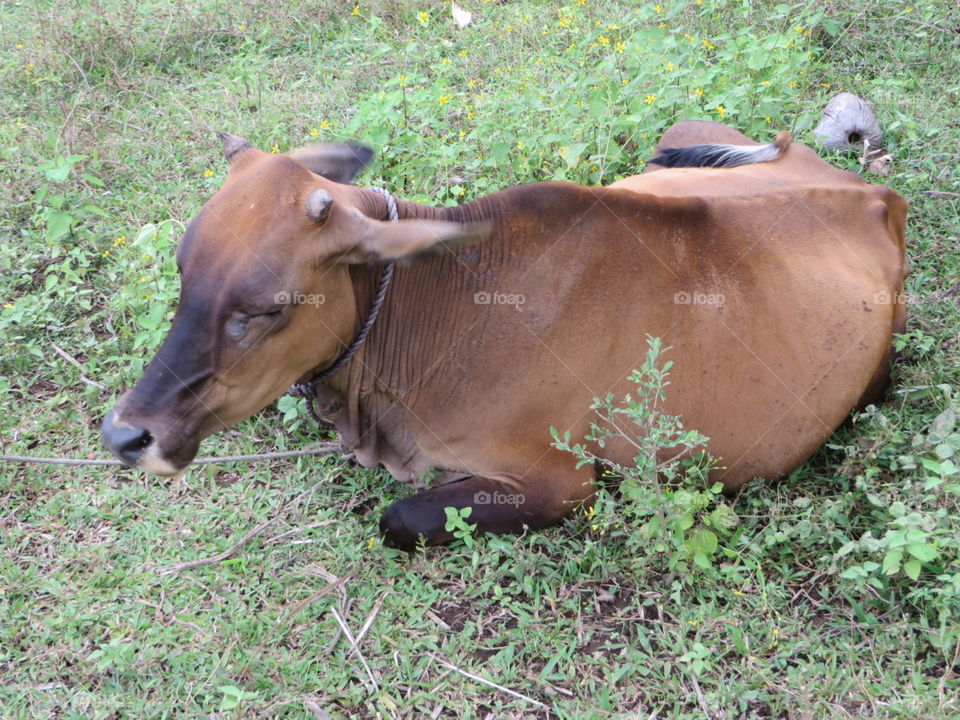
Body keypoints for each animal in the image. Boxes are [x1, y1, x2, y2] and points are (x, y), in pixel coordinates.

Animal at [102, 121, 908, 550]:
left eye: (267, 309)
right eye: (183, 276)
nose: (124, 434)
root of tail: (874, 193)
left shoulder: (563, 483)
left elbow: (398, 516)